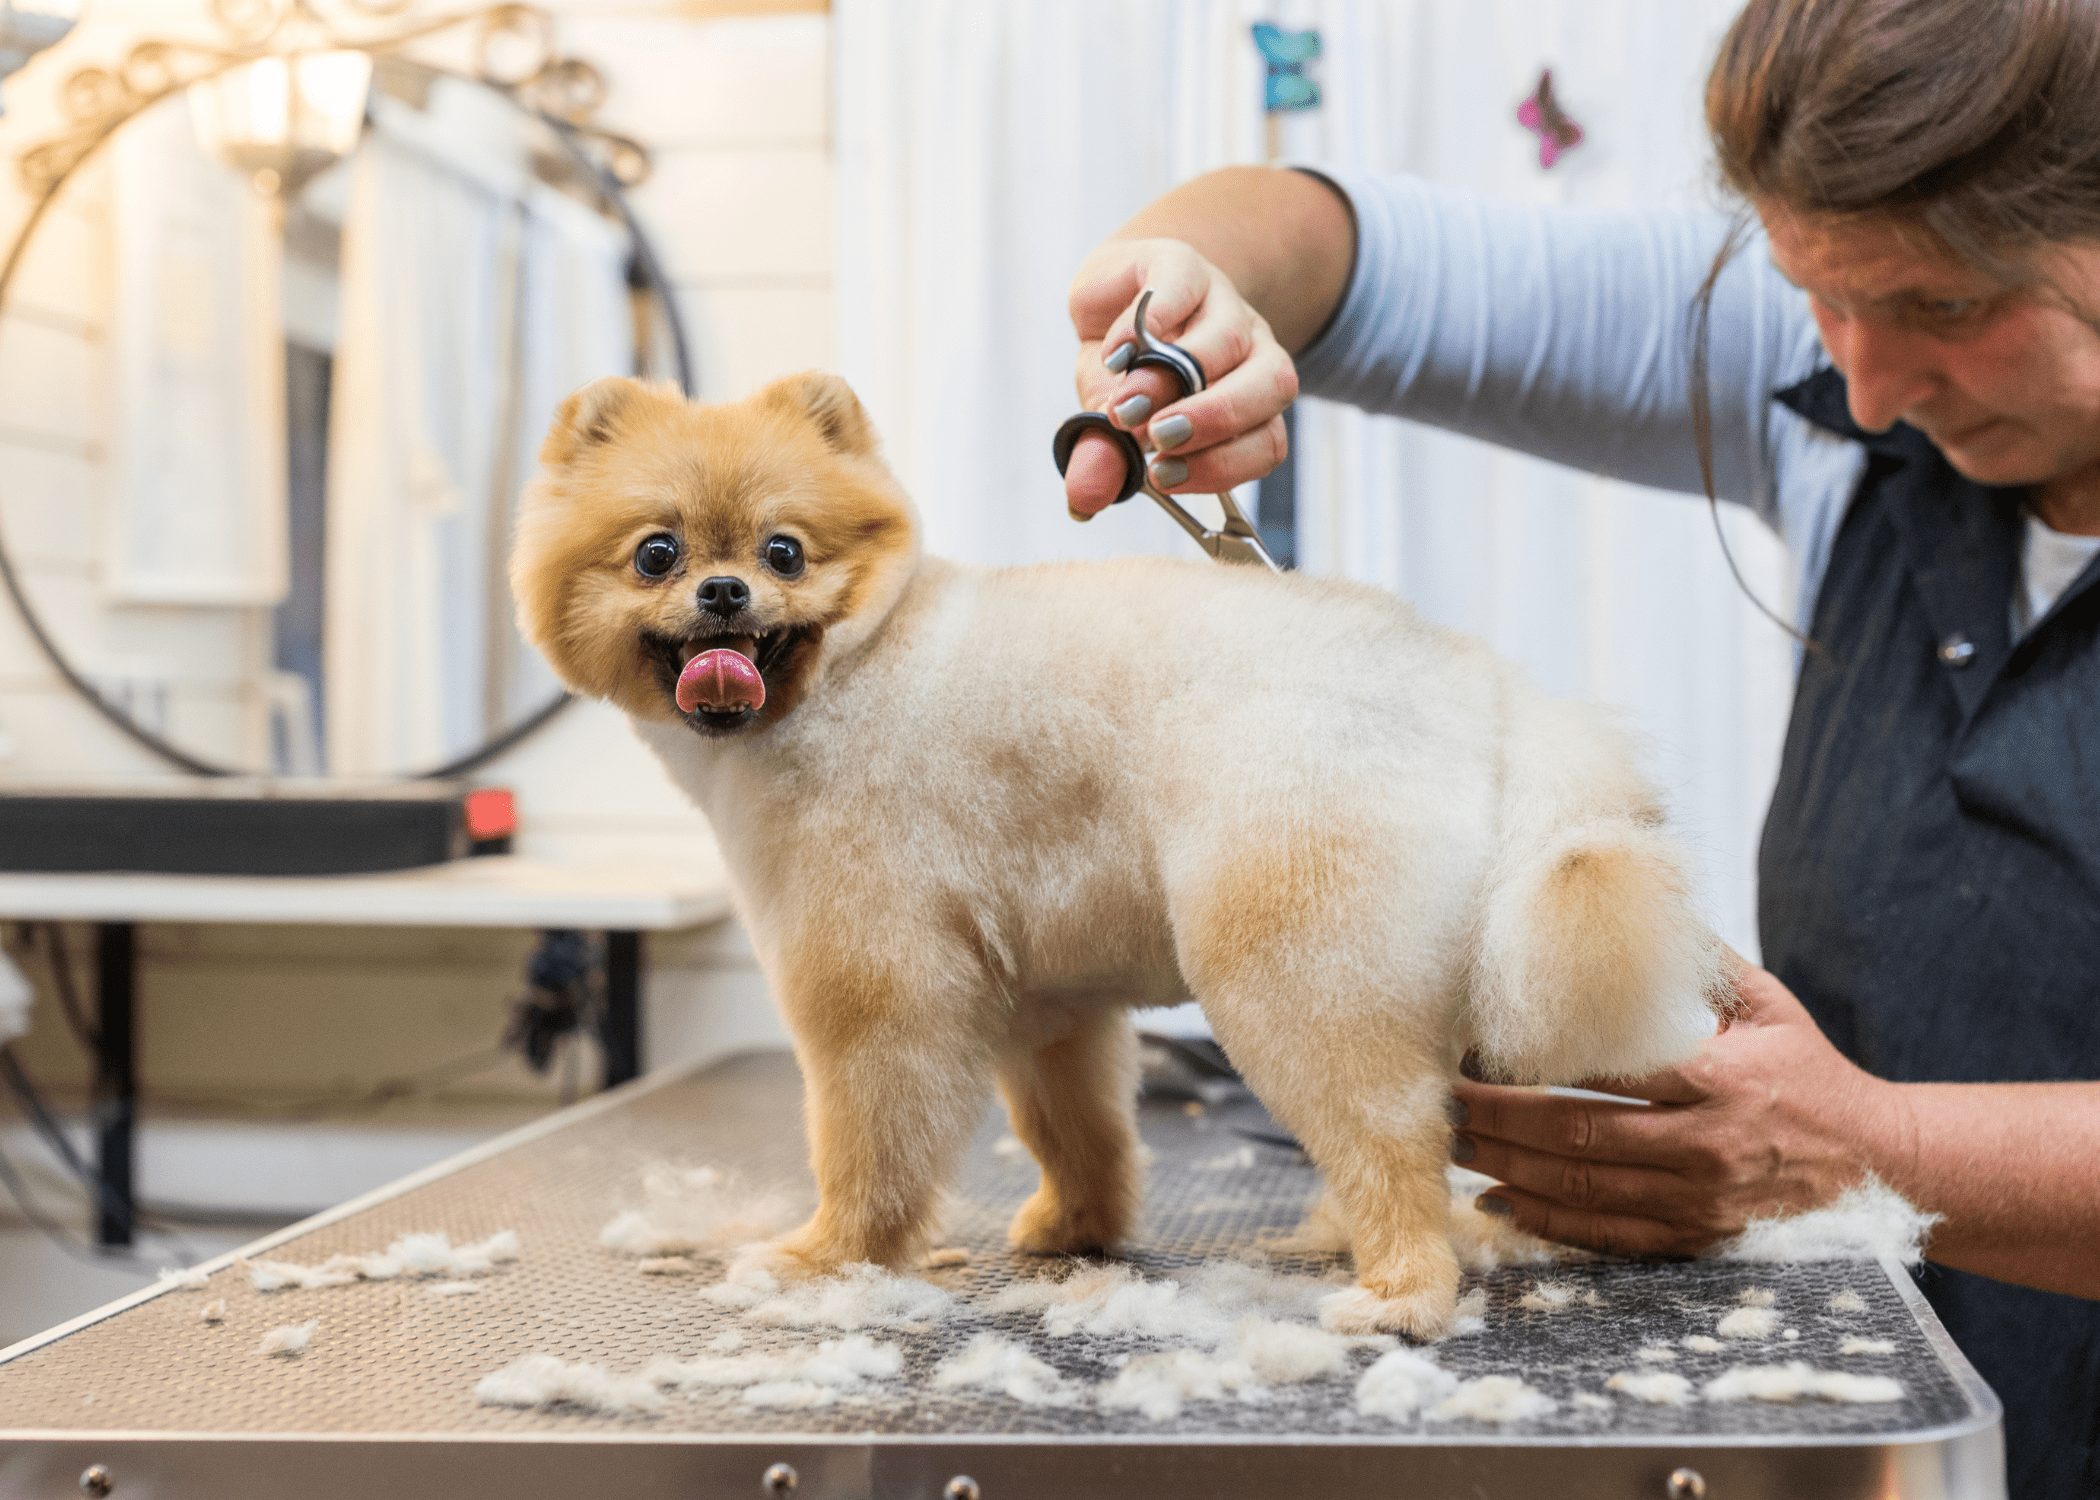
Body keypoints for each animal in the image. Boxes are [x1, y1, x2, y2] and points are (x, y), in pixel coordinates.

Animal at [512, 371, 1721, 1336]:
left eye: (784, 551)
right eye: (656, 553)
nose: (723, 591)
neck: (850, 666)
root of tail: (1482, 690)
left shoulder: (877, 983)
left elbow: (871, 1142)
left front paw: (827, 1258)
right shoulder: (1046, 998)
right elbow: (1076, 1128)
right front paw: (1076, 1226)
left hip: (1294, 959)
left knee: (1395, 1140)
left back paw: (1401, 1293)